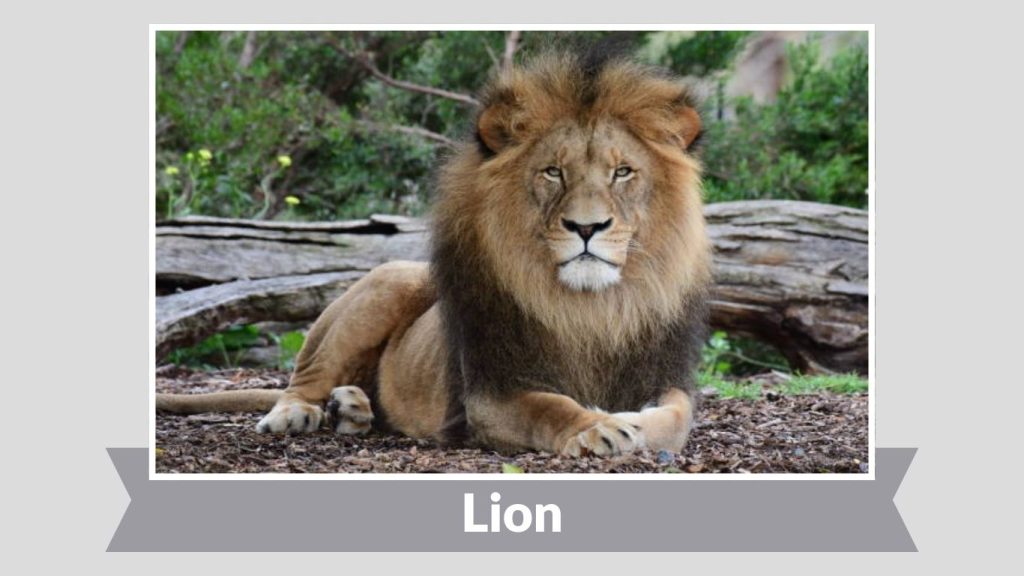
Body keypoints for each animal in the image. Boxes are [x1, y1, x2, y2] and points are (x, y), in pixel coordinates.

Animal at [156, 50, 712, 456]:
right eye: (553, 172)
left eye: (623, 172)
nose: (587, 226)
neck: (593, 308)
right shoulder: (489, 393)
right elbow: (551, 407)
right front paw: (597, 427)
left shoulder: (665, 375)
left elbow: (676, 418)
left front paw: (626, 418)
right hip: (386, 285)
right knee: (303, 378)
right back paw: (300, 412)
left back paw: (352, 408)